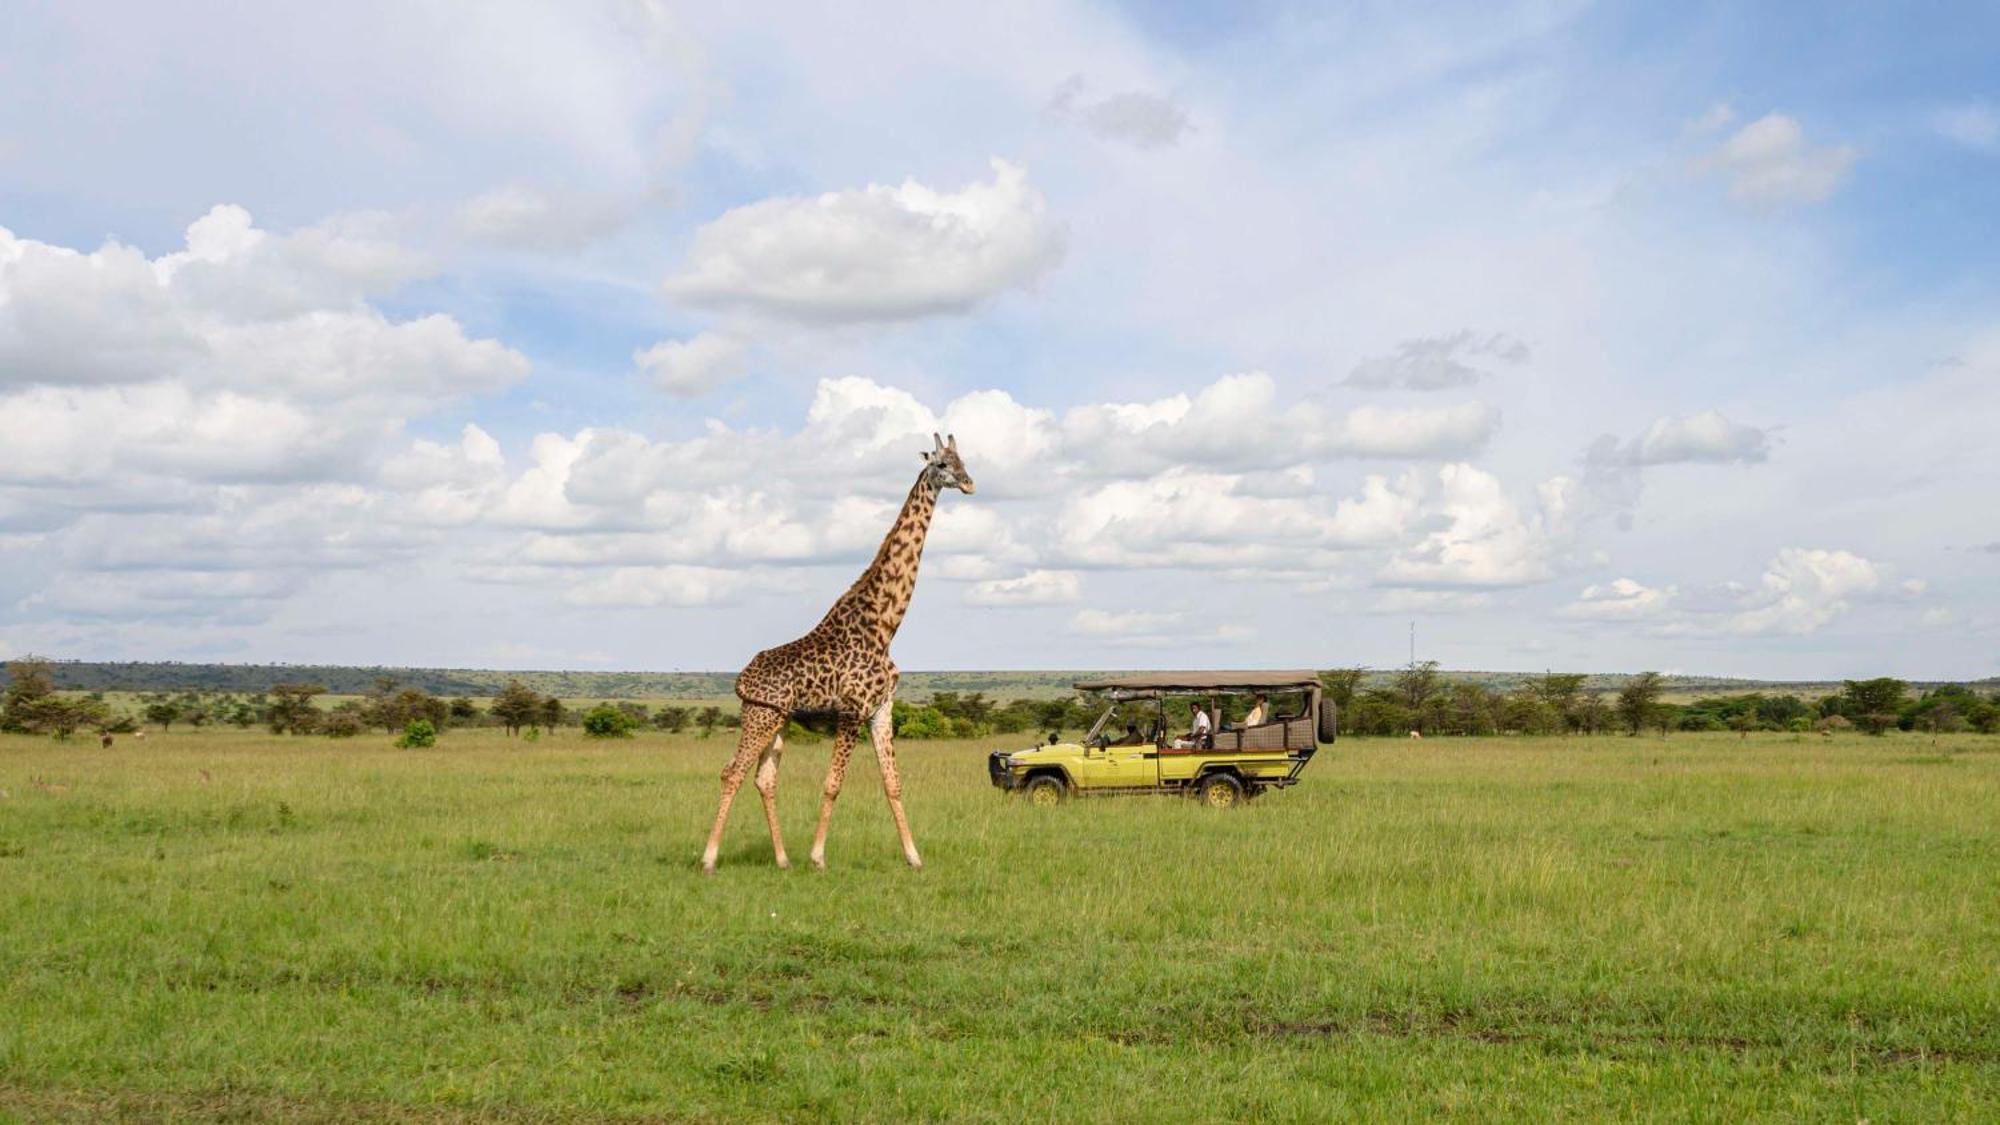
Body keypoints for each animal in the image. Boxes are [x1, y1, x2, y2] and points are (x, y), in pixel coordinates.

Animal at [704, 428, 976, 868]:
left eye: (964, 461)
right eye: (941, 463)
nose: (969, 483)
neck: (884, 627)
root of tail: (741, 678)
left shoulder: (881, 710)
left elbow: (893, 783)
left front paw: (914, 857)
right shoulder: (851, 711)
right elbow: (833, 784)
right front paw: (818, 857)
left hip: (778, 720)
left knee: (764, 779)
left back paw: (782, 860)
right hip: (759, 716)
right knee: (732, 772)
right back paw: (709, 859)